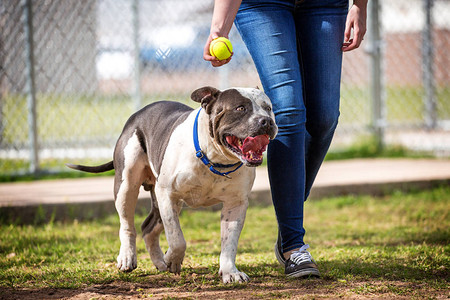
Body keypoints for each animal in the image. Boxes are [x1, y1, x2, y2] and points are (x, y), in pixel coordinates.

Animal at [67, 85, 278, 282]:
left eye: (268, 108)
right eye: (240, 108)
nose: (266, 121)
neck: (214, 159)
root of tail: (137, 115)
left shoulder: (235, 204)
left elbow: (229, 242)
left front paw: (230, 272)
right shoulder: (168, 194)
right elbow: (177, 239)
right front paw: (173, 259)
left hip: (162, 201)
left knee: (148, 228)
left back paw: (159, 262)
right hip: (127, 186)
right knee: (127, 224)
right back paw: (128, 257)